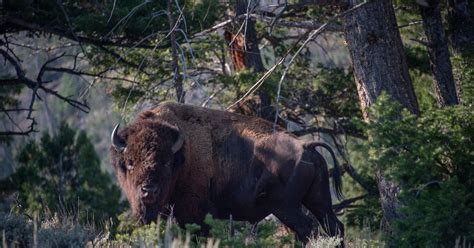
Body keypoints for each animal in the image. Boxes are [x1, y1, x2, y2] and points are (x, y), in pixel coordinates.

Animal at [111, 101, 344, 243]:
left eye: (166, 162)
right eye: (130, 162)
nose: (148, 191)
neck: (183, 154)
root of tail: (307, 146)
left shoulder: (193, 214)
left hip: (286, 206)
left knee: (309, 230)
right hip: (318, 200)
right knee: (334, 227)